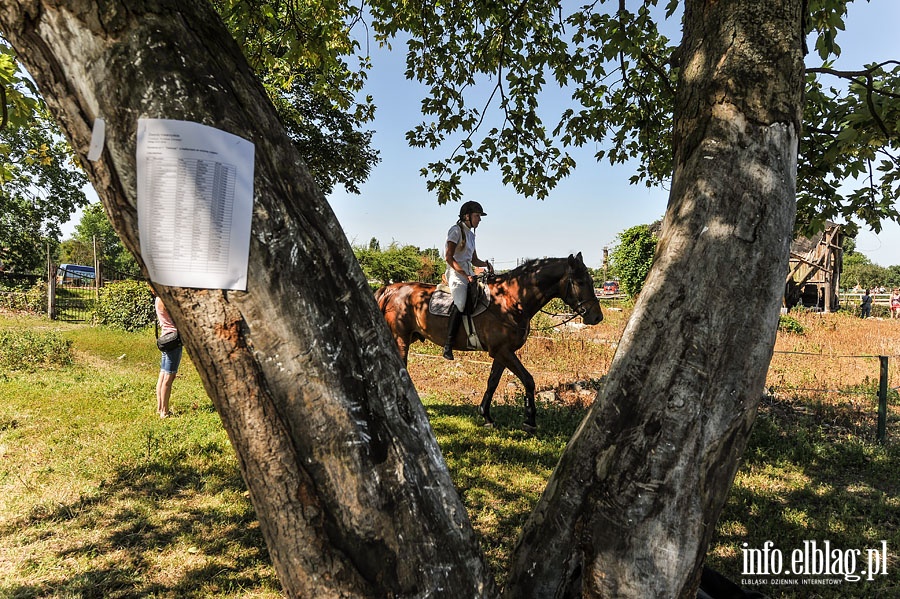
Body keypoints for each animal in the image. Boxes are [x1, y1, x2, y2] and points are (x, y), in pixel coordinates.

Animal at [372, 252, 604, 432]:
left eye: (592, 282)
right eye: (581, 282)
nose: (597, 317)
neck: (511, 300)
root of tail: (391, 289)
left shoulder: (502, 353)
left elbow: (492, 382)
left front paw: (486, 416)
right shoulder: (503, 351)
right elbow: (528, 380)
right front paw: (529, 420)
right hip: (400, 339)